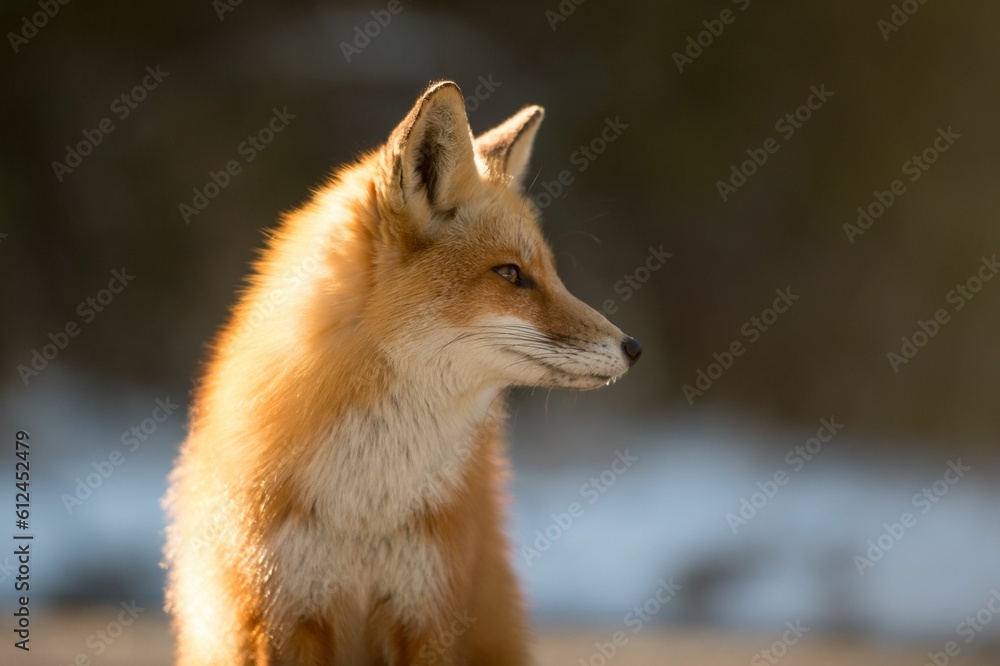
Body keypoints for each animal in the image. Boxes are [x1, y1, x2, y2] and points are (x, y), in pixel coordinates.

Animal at [165, 80, 644, 660]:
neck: (366, 509)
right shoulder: (281, 611)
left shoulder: (427, 611)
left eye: (550, 273)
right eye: (511, 274)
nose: (633, 347)